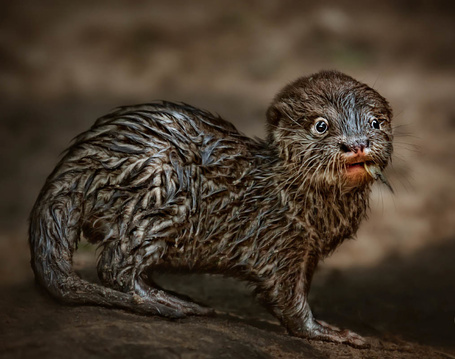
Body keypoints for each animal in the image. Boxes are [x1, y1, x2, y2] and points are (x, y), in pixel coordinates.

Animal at [28, 70, 394, 348]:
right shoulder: (278, 239)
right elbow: (285, 297)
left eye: (375, 123)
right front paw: (327, 332)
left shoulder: (309, 250)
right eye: (321, 125)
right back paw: (171, 303)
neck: (292, 197)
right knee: (115, 267)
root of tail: (73, 169)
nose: (357, 144)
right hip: (159, 190)